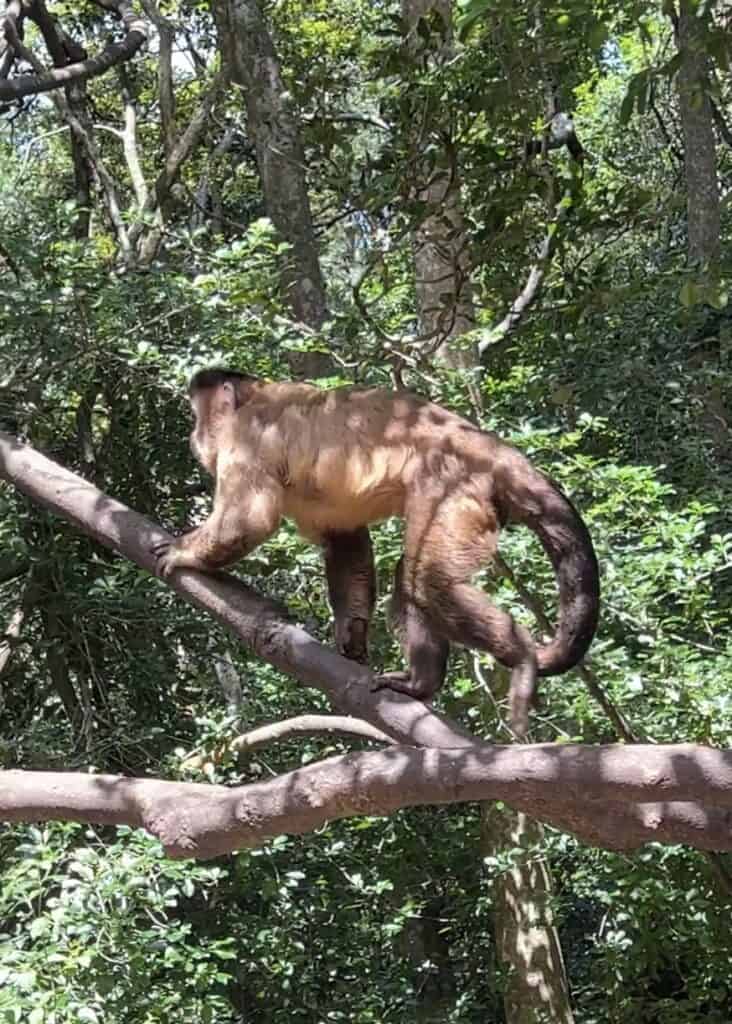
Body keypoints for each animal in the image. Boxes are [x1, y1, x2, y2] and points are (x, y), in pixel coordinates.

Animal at [153, 370, 601, 712]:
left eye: (197, 416)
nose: (193, 436)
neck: (251, 399)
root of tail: (489, 447)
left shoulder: (245, 437)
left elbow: (249, 520)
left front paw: (183, 552)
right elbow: (343, 539)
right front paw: (351, 631)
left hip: (453, 486)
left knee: (428, 578)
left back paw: (520, 658)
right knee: (412, 579)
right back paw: (422, 682)